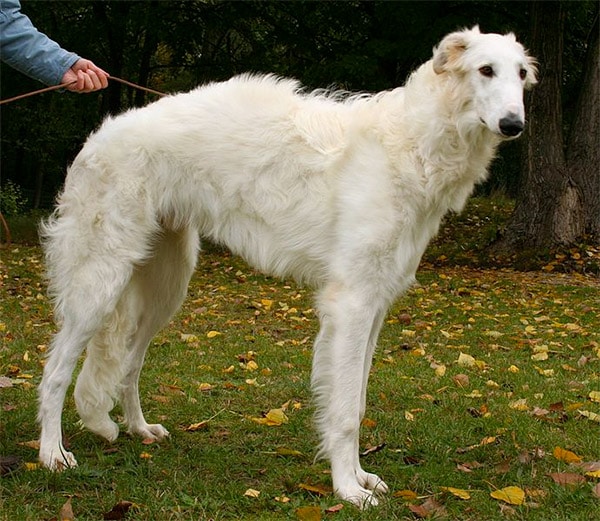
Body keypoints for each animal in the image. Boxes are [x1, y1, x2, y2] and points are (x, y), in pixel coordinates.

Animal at [38, 26, 536, 506]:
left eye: (521, 75)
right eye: (485, 69)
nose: (514, 125)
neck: (411, 143)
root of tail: (99, 137)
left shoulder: (375, 302)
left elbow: (356, 403)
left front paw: (361, 477)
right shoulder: (351, 302)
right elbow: (344, 412)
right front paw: (348, 489)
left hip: (166, 285)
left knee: (129, 364)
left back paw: (140, 429)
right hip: (99, 281)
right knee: (56, 370)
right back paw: (52, 454)